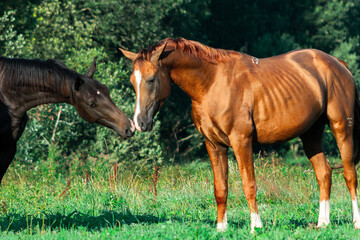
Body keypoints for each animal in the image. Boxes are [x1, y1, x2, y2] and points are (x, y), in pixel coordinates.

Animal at [120, 38, 360, 232]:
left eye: (151, 79)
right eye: (132, 81)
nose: (140, 123)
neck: (211, 83)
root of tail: (339, 64)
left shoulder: (241, 142)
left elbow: (249, 184)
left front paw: (256, 226)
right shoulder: (214, 145)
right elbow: (220, 188)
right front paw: (221, 228)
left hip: (342, 128)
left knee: (349, 174)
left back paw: (356, 222)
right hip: (310, 134)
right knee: (324, 173)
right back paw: (323, 223)